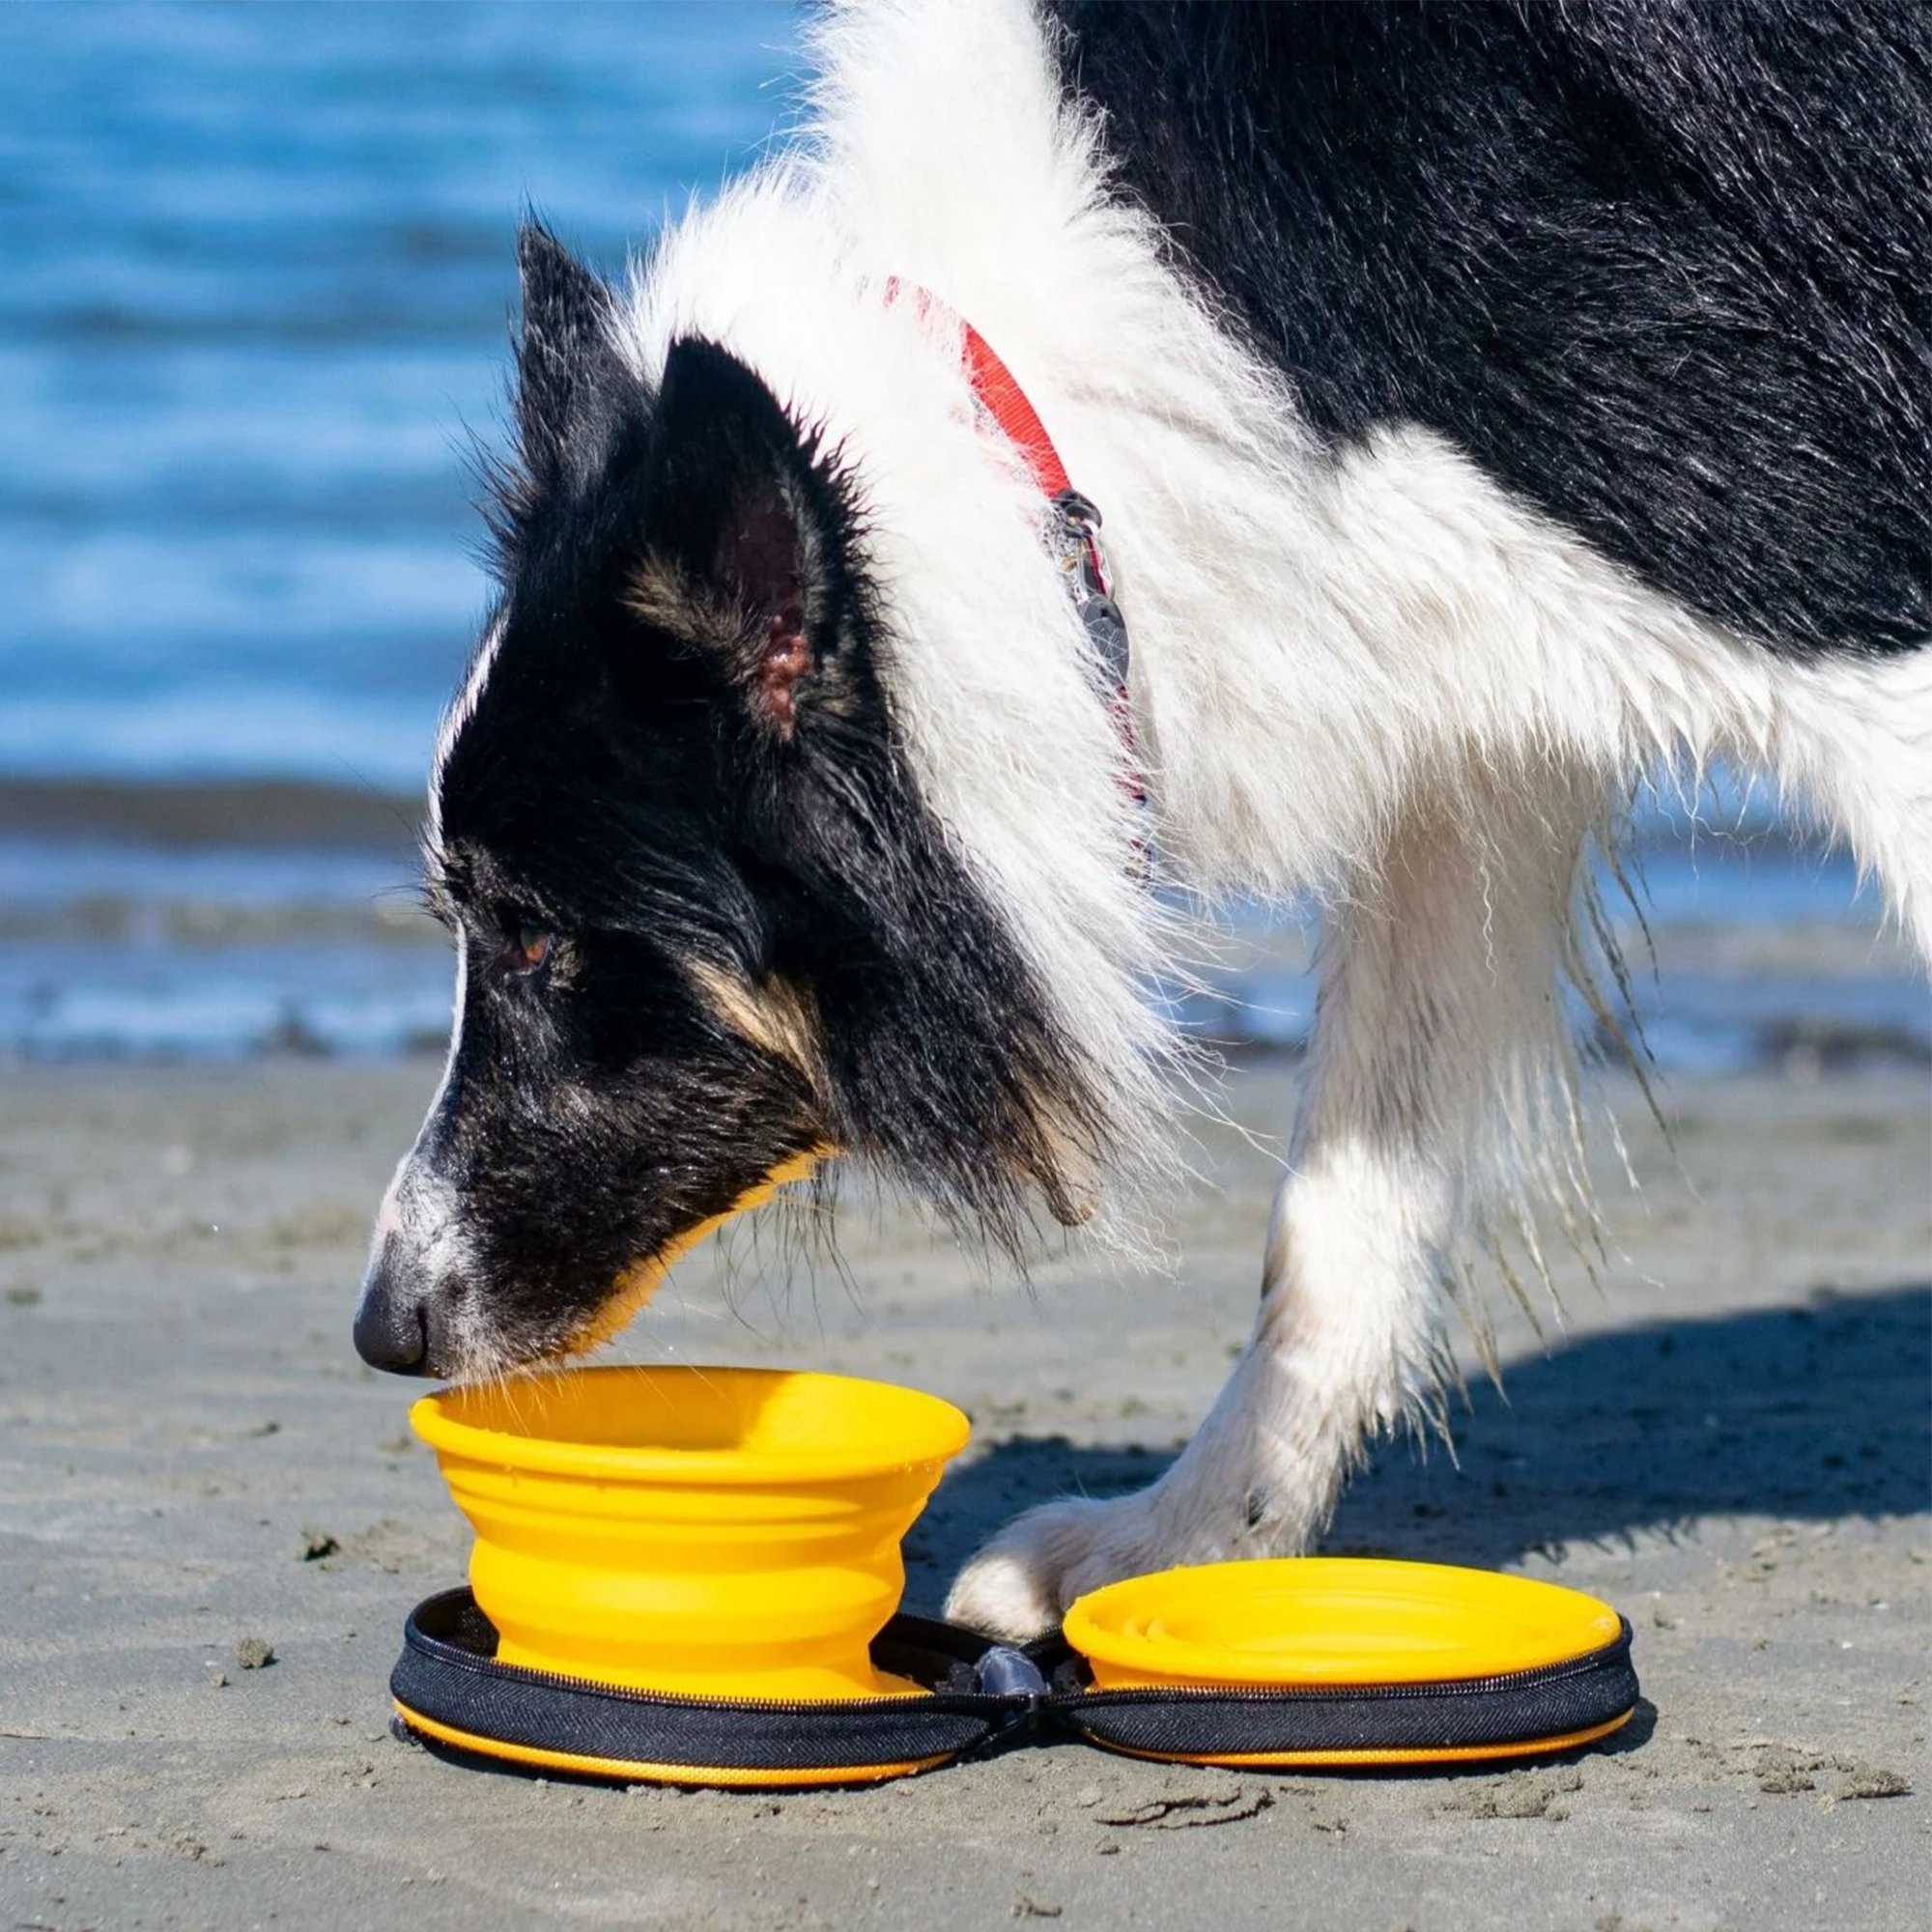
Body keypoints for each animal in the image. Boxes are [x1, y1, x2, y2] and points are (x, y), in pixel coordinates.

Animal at [355, 0, 1924, 1638]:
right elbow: (1342, 1217)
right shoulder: (1460, 724)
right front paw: (1186, 1541)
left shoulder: (1824, 574)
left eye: (534, 937)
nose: (384, 1328)